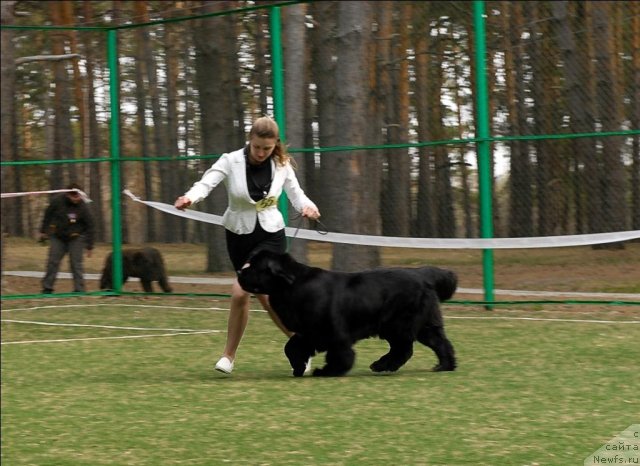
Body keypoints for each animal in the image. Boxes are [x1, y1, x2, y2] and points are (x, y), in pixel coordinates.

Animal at [238, 249, 458, 376]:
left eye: (254, 266)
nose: (239, 272)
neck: (292, 286)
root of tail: (422, 272)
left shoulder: (333, 332)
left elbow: (341, 353)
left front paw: (327, 371)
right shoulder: (308, 332)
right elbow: (291, 347)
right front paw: (299, 367)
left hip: (398, 324)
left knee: (403, 349)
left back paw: (381, 365)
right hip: (423, 324)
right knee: (439, 342)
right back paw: (444, 366)